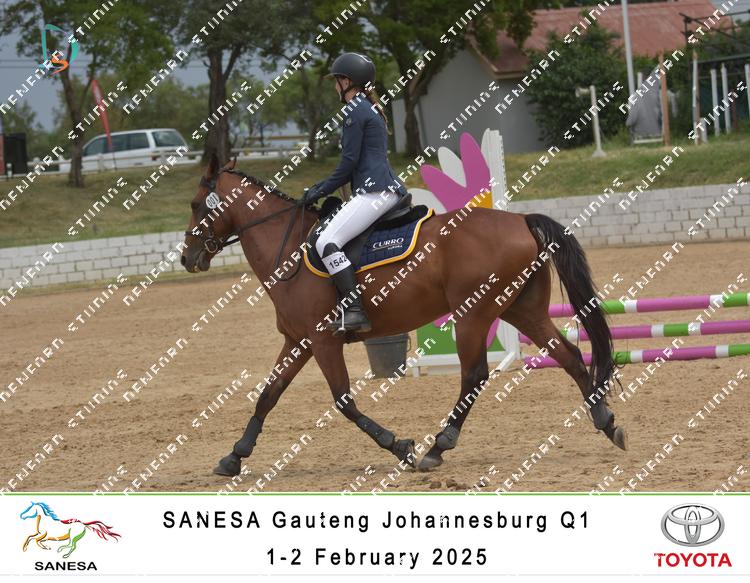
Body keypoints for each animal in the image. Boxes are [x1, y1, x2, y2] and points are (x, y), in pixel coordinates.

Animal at [181, 155, 627, 478]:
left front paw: (400, 447)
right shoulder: (299, 342)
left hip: (473, 313)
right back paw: (605, 421)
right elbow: (268, 395)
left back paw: (437, 447)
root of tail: (520, 220)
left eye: (195, 204)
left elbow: (344, 402)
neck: (288, 249)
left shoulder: (324, 341)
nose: (188, 258)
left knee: (474, 375)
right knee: (570, 355)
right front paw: (234, 456)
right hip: (522, 311)